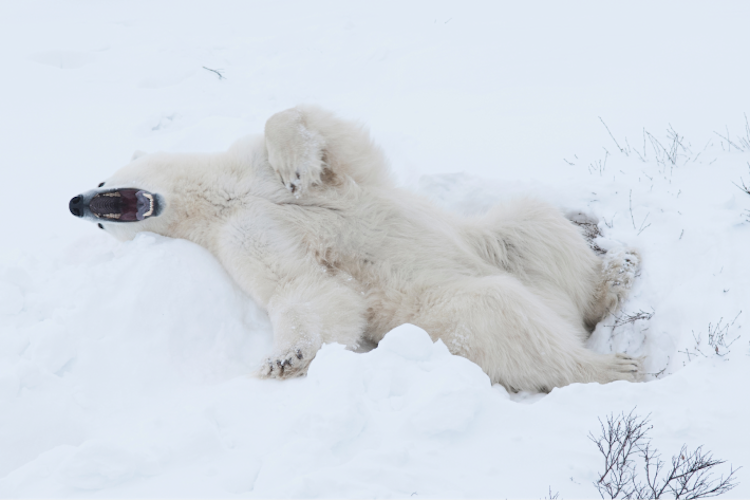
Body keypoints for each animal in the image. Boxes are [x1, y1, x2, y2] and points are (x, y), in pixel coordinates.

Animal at [68, 105, 641, 392]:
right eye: (96, 224)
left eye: (101, 181)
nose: (76, 202)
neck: (225, 195)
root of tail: (558, 310)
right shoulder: (241, 235)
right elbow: (305, 289)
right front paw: (285, 357)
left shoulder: (258, 172)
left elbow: (323, 134)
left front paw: (295, 168)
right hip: (437, 311)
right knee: (500, 319)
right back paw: (612, 365)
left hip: (497, 246)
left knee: (531, 227)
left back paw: (611, 280)